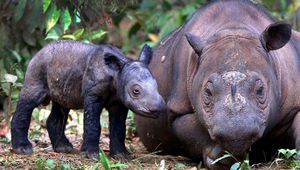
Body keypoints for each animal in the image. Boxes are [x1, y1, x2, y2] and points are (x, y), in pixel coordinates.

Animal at [10, 39, 165, 158]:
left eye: (157, 86)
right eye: (136, 91)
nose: (158, 109)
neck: (116, 74)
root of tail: (40, 51)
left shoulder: (119, 101)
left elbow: (119, 127)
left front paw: (122, 155)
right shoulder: (93, 94)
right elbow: (93, 123)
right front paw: (91, 155)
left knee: (62, 105)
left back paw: (64, 149)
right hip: (38, 66)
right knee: (30, 100)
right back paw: (23, 149)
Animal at [135, 0, 300, 167]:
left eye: (260, 90)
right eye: (207, 93)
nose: (236, 135)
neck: (233, 26)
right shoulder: (178, 110)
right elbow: (190, 129)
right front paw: (222, 159)